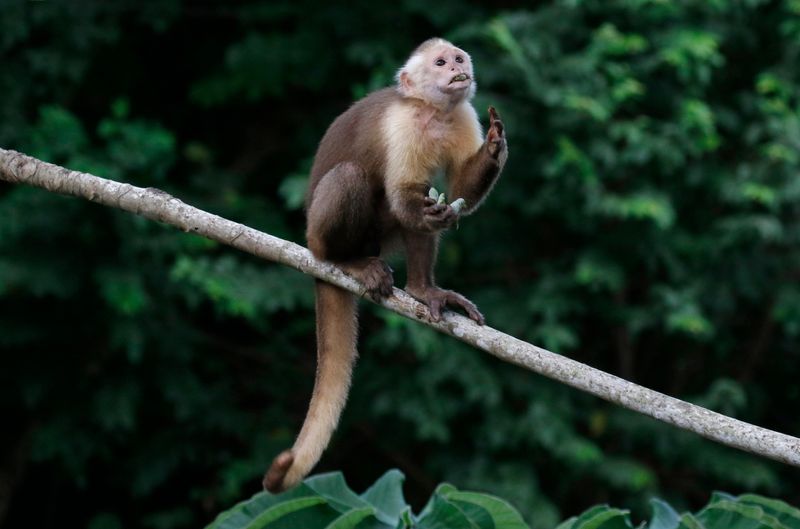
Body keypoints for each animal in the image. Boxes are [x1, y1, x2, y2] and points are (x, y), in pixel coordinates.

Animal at [266, 37, 510, 490]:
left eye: (457, 58)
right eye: (440, 62)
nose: (458, 69)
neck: (433, 113)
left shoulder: (462, 116)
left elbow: (458, 192)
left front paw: (494, 147)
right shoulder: (404, 124)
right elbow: (403, 192)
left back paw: (423, 290)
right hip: (319, 234)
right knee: (354, 178)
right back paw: (345, 260)